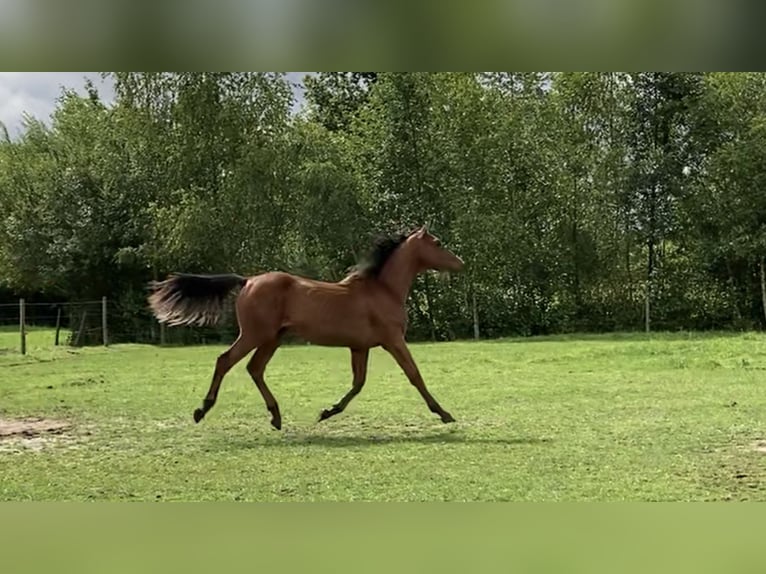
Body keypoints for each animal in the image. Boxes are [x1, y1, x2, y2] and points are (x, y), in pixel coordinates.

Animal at [147, 227, 464, 430]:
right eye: (437, 243)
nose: (460, 263)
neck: (383, 290)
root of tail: (247, 280)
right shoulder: (393, 340)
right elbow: (414, 375)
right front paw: (445, 413)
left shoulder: (359, 346)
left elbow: (358, 383)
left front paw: (327, 412)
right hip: (254, 334)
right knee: (225, 360)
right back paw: (202, 410)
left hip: (272, 338)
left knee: (254, 368)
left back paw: (275, 417)